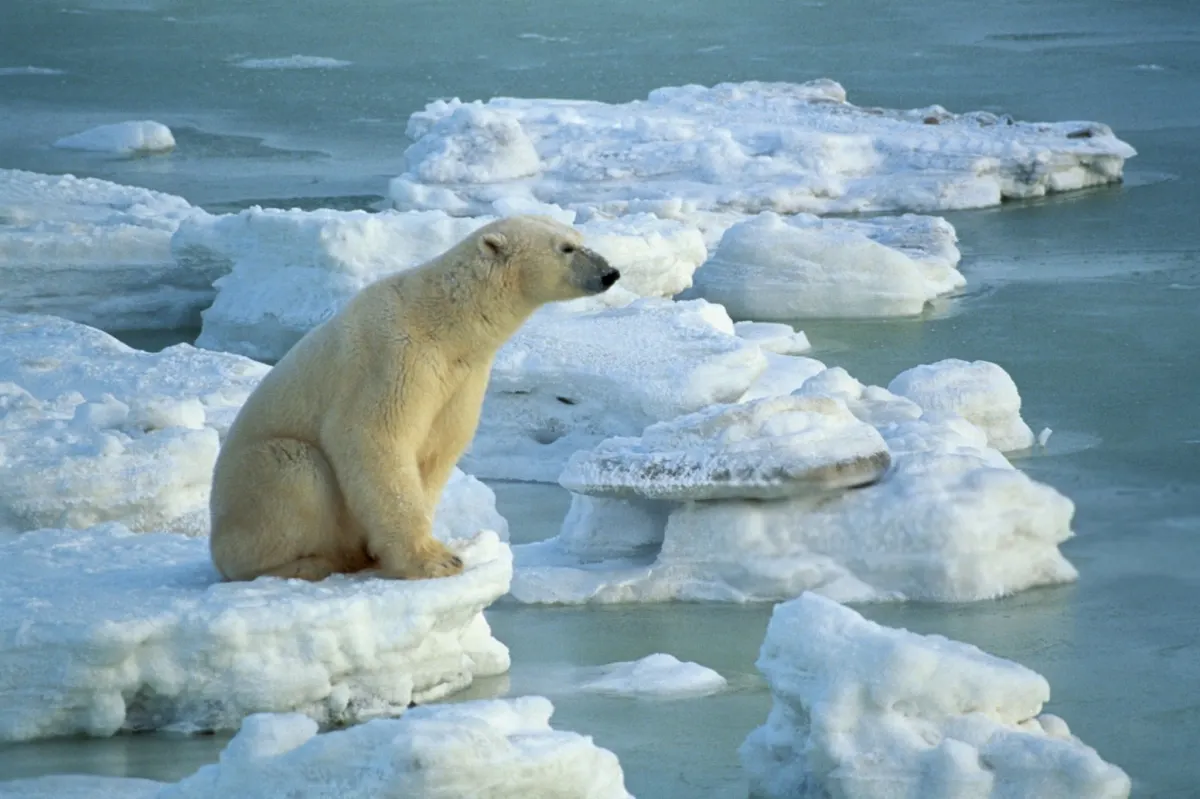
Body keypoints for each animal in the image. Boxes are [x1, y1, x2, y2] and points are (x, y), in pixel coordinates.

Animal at [208, 215, 620, 582]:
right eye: (565, 248)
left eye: (579, 238)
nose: (611, 273)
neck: (442, 321)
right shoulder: (392, 360)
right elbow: (373, 439)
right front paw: (436, 560)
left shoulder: (462, 379)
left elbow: (438, 448)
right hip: (249, 487)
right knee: (294, 469)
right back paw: (310, 563)